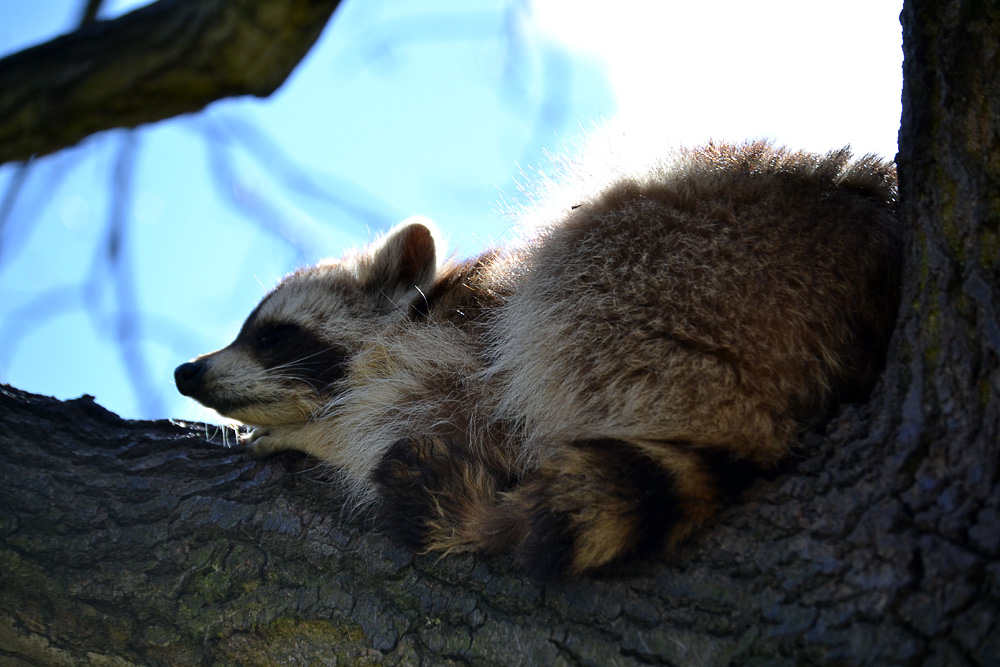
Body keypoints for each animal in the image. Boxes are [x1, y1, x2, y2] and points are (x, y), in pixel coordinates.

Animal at [176, 142, 904, 580]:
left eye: (274, 336)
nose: (186, 372)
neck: (423, 312)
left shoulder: (468, 348)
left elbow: (427, 419)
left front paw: (319, 433)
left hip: (661, 281)